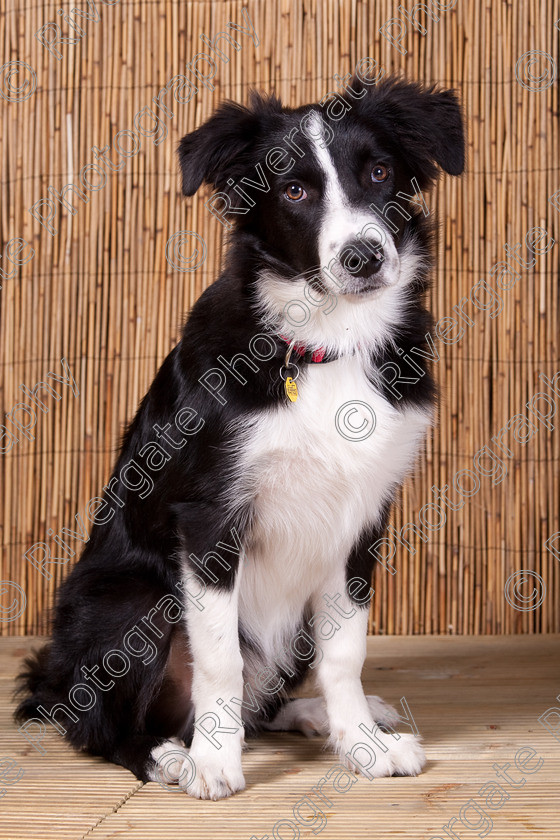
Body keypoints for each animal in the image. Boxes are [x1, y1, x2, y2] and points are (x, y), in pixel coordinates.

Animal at [15, 74, 466, 800]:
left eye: (378, 172)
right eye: (294, 191)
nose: (363, 257)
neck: (326, 343)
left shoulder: (362, 519)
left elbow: (347, 652)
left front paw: (361, 745)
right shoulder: (209, 519)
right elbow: (220, 658)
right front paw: (214, 763)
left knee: (269, 695)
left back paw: (314, 715)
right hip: (135, 603)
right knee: (97, 724)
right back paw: (168, 755)